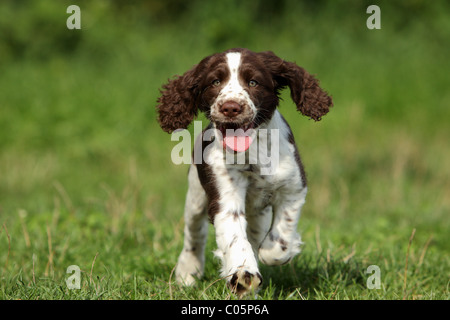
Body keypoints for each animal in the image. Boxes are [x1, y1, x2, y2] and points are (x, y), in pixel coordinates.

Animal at [156, 47, 332, 296]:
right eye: (215, 82)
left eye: (253, 82)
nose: (230, 107)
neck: (253, 152)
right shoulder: (225, 195)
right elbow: (235, 238)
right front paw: (243, 276)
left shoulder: (293, 188)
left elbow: (280, 240)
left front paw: (270, 252)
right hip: (196, 196)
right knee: (195, 233)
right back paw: (187, 272)